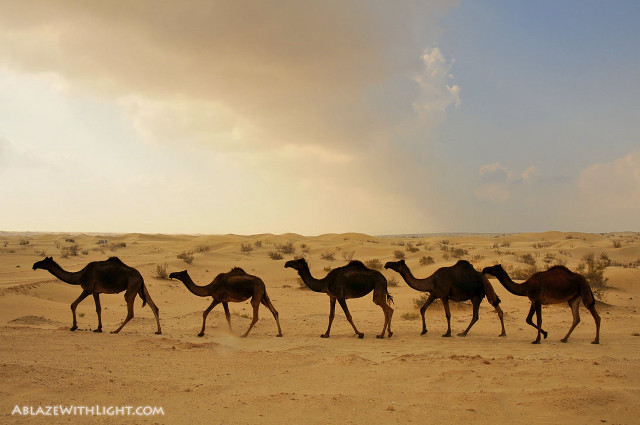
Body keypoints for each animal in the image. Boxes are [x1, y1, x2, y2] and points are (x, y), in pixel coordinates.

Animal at [32, 257, 161, 334]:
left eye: (44, 261)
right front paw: (99, 328)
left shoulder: (88, 289)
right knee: (154, 306)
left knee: (130, 311)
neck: (80, 276)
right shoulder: (96, 292)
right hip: (140, 288)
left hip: (132, 286)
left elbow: (73, 305)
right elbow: (98, 308)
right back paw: (158, 331)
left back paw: (116, 330)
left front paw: (74, 327)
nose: (34, 265)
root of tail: (140, 276)